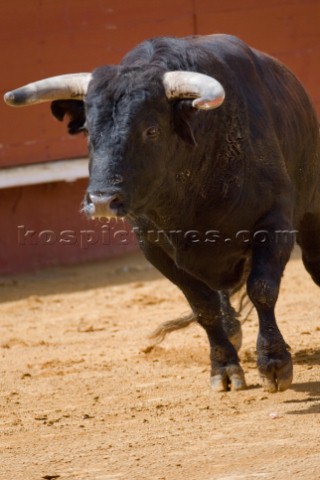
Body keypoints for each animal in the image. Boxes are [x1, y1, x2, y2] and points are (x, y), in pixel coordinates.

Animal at [5, 34, 320, 394]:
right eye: (88, 133)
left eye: (151, 130)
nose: (102, 200)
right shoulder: (155, 248)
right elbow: (203, 307)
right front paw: (225, 368)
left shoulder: (274, 222)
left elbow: (263, 289)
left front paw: (274, 364)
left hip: (312, 213)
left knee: (314, 264)